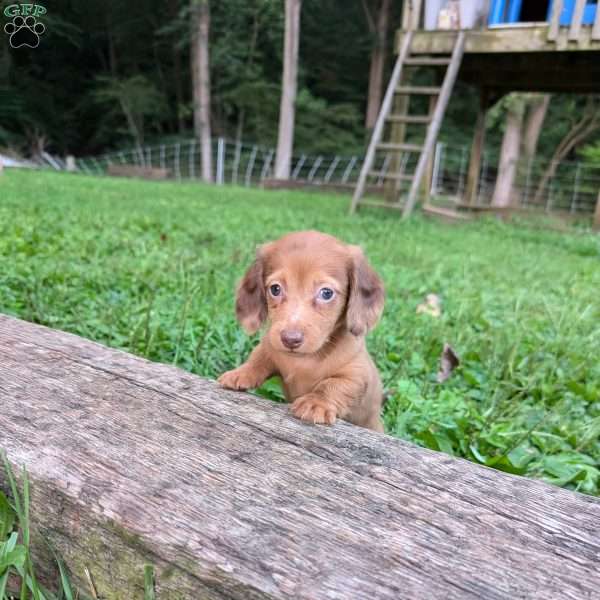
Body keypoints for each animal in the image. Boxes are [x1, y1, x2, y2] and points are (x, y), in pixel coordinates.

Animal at [219, 230, 384, 432]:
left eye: (326, 293)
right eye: (275, 289)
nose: (290, 339)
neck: (305, 360)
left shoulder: (358, 372)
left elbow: (335, 383)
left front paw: (316, 402)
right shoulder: (270, 346)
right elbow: (258, 357)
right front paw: (240, 372)